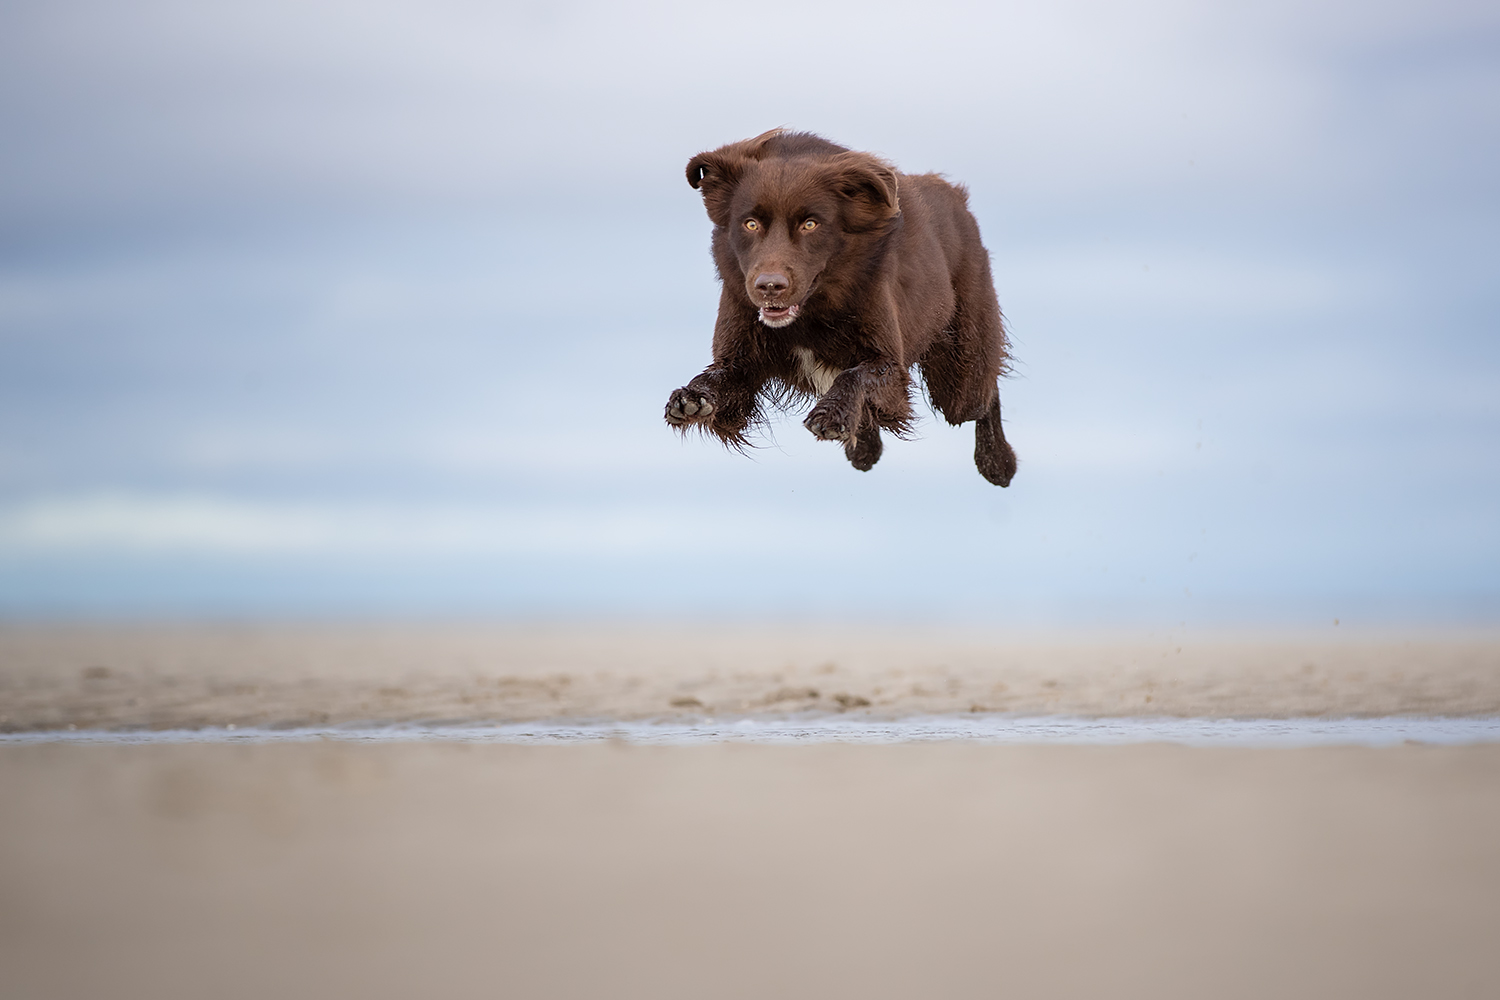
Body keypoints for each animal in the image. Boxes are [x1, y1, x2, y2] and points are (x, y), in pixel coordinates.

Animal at [669, 127, 1020, 485]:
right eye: (750, 223)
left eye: (810, 224)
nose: (769, 287)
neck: (810, 312)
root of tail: (955, 196)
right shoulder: (742, 351)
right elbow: (721, 378)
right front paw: (692, 397)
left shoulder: (888, 361)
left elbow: (857, 374)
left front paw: (830, 414)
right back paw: (864, 450)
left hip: (960, 368)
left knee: (984, 394)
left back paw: (997, 462)